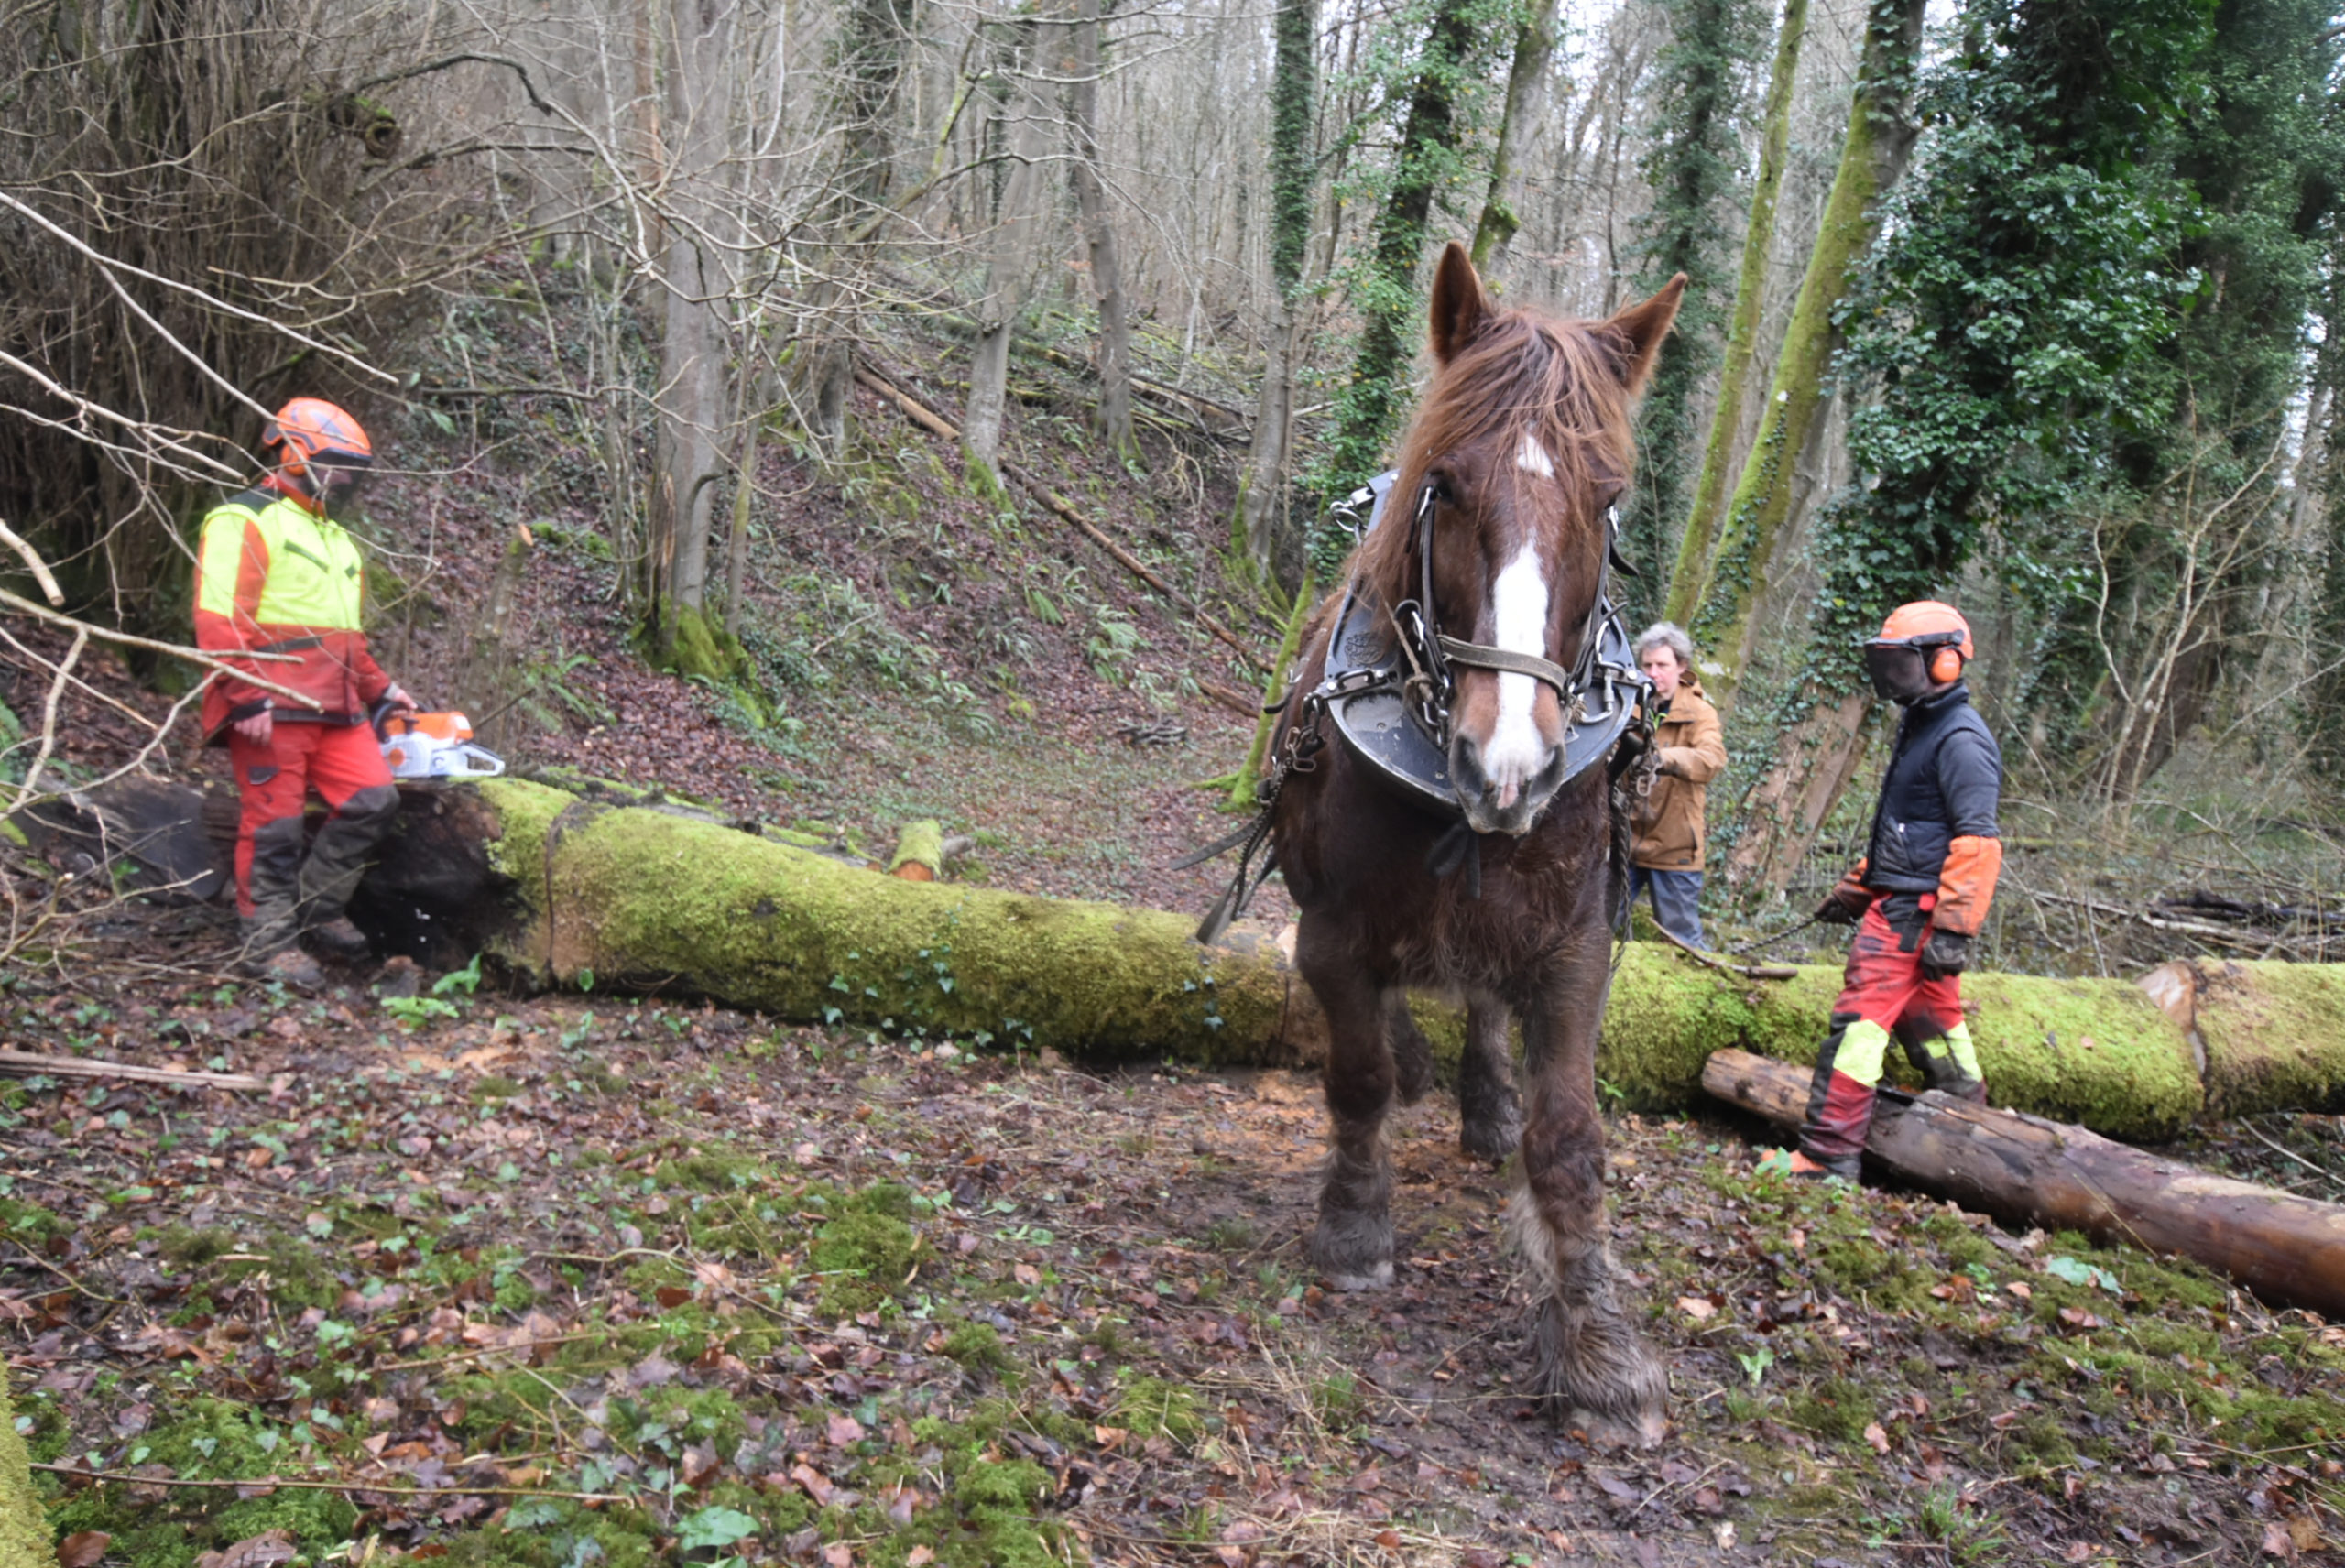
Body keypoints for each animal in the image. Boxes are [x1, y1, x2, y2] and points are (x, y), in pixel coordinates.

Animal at [1267, 242, 1683, 1444]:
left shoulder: (1577, 940)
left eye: (1609, 500)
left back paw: (1486, 1098)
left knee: (1486, 1001)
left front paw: (1596, 1342)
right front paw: (1354, 1227)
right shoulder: (1332, 926)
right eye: (1445, 485)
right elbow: (1357, 1073)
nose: (1510, 762)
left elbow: (1571, 1136)